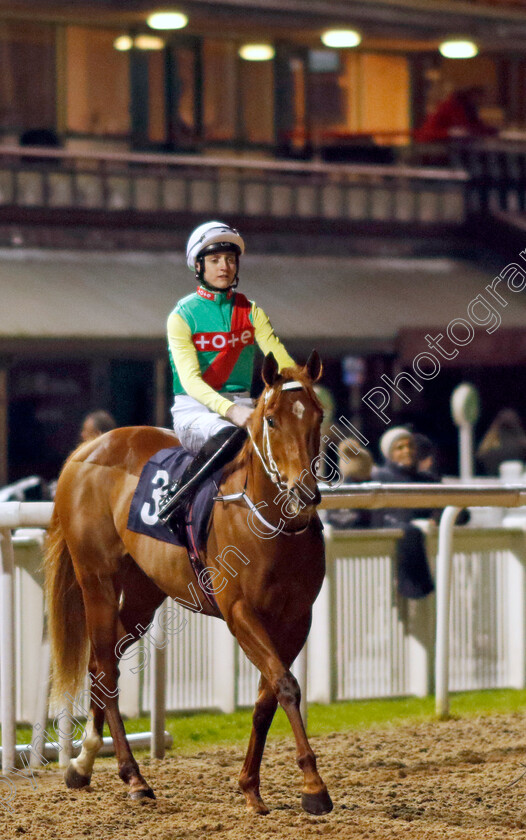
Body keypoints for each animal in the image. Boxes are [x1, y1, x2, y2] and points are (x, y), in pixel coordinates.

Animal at [45, 352, 334, 812]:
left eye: (319, 415)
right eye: (271, 420)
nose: (304, 493)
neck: (270, 524)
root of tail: (85, 450)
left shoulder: (296, 619)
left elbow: (267, 696)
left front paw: (250, 786)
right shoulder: (239, 612)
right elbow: (286, 686)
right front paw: (314, 787)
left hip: (143, 593)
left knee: (102, 664)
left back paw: (83, 763)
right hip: (97, 581)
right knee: (105, 667)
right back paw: (133, 776)